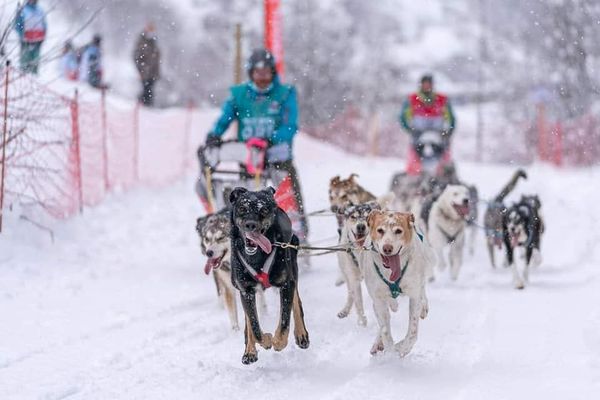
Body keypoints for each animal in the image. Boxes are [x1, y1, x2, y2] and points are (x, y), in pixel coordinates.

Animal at [226, 186, 308, 364]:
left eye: (263, 209)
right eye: (242, 208)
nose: (250, 224)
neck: (257, 256)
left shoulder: (286, 283)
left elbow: (285, 320)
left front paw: (278, 342)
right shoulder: (246, 290)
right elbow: (255, 327)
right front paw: (264, 341)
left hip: (293, 263)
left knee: (296, 301)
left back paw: (301, 334)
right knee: (249, 320)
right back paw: (249, 350)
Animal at [358, 209, 434, 356]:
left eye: (398, 231)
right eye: (380, 230)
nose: (387, 248)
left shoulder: (414, 295)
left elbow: (412, 333)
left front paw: (402, 348)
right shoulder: (379, 299)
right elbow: (385, 331)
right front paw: (390, 352)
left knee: (423, 291)